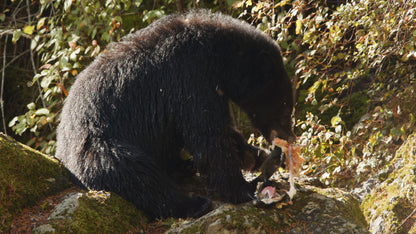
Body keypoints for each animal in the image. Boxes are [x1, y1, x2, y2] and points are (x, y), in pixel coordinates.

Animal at [56, 10, 296, 219]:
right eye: (285, 107)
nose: (289, 138)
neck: (219, 57)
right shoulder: (189, 79)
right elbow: (207, 136)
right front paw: (246, 186)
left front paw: (257, 155)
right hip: (98, 148)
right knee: (136, 174)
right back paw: (194, 203)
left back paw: (183, 167)